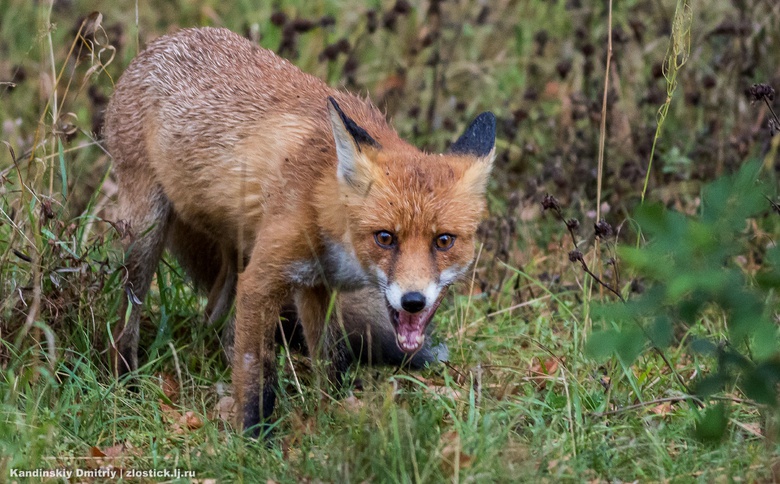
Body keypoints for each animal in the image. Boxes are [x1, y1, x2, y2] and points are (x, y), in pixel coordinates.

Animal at [103, 27, 496, 438]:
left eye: (443, 241)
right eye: (385, 237)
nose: (414, 302)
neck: (320, 199)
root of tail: (162, 41)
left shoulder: (316, 285)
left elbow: (332, 357)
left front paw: (336, 412)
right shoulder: (262, 281)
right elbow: (257, 374)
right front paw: (253, 437)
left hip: (239, 251)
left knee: (214, 315)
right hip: (145, 234)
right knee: (127, 318)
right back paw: (125, 380)